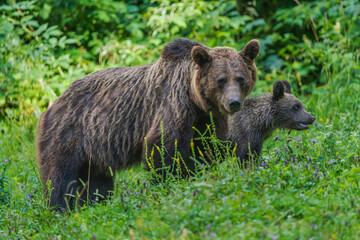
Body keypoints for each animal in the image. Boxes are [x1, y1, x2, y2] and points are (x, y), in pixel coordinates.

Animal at [36, 37, 260, 208]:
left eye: (240, 78)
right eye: (220, 80)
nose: (233, 103)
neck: (196, 100)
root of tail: (53, 104)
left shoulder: (206, 120)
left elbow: (206, 150)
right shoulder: (175, 104)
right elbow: (162, 146)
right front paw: (168, 185)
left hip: (95, 151)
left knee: (97, 182)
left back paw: (93, 206)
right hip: (68, 133)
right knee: (60, 177)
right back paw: (58, 209)